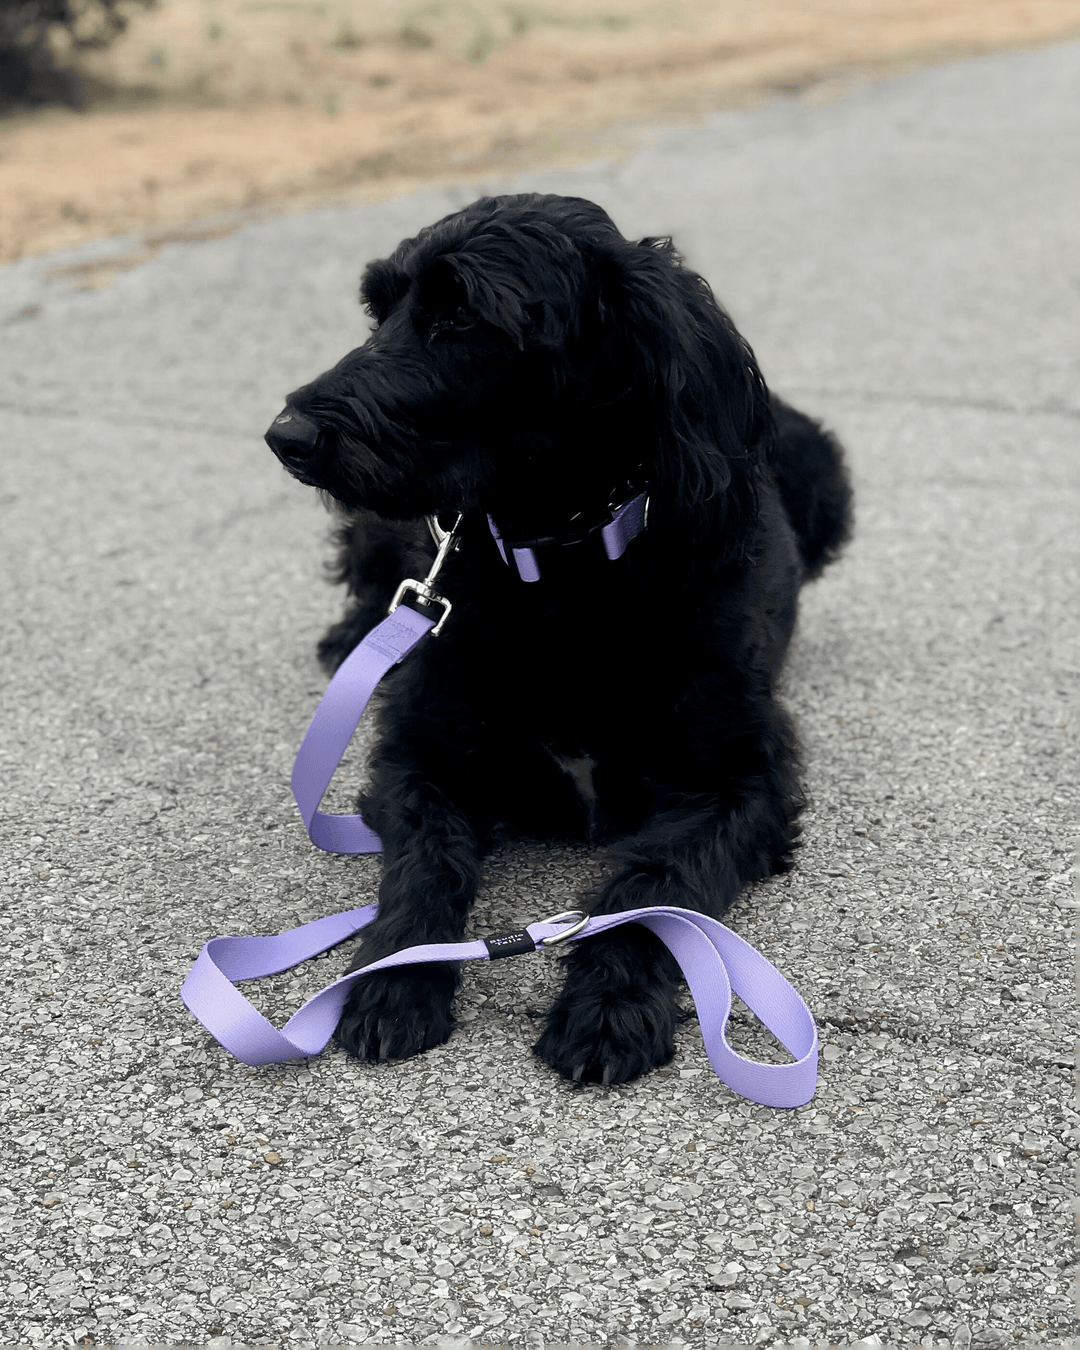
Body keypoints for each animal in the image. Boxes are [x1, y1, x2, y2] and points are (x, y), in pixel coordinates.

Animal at [263, 193, 853, 1085]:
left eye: (461, 315)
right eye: (379, 306)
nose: (285, 435)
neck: (564, 569)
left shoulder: (738, 781)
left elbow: (651, 888)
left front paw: (609, 1003)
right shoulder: (421, 755)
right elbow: (425, 861)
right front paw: (395, 978)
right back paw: (354, 635)